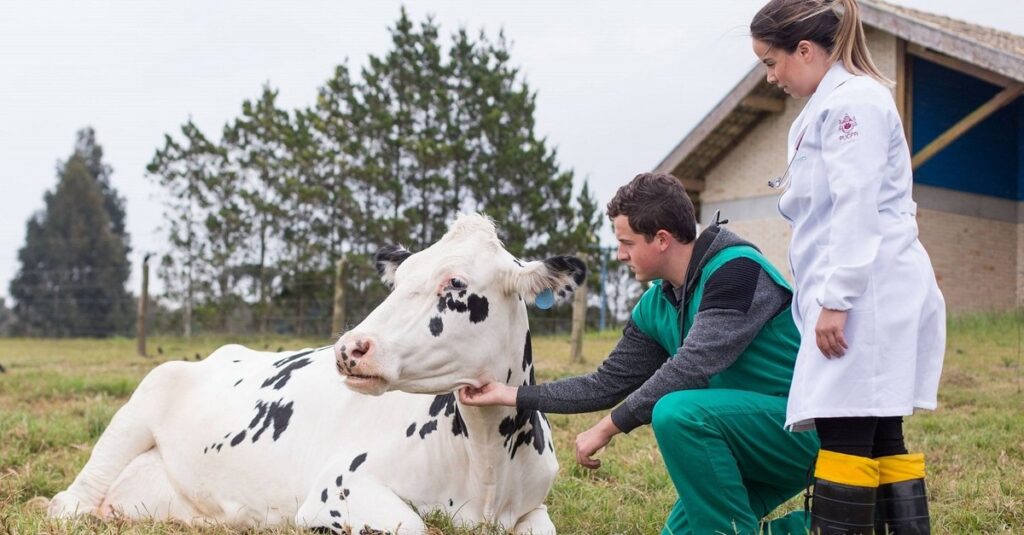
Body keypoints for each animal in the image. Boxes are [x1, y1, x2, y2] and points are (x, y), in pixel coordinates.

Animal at [48, 213, 589, 532]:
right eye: (401, 279)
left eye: (456, 283)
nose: (351, 348)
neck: (486, 466)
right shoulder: (340, 485)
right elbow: (413, 525)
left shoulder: (535, 507)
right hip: (139, 405)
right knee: (71, 500)